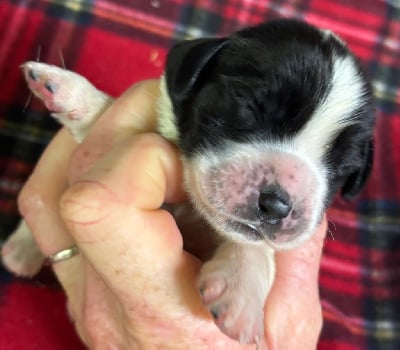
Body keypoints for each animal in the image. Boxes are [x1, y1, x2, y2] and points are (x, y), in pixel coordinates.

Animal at [2, 19, 376, 344]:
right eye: (249, 105)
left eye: (342, 165)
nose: (278, 205)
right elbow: (106, 113)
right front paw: (70, 92)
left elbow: (256, 245)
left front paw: (240, 289)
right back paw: (20, 250)